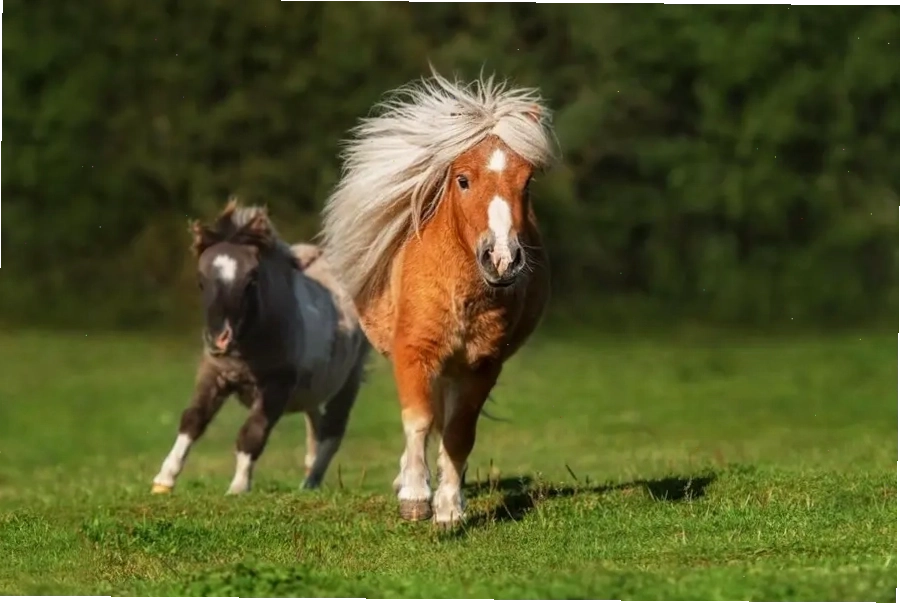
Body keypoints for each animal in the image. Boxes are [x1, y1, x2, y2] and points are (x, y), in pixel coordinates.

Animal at [151, 198, 371, 495]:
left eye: (251, 280)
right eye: (200, 281)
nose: (218, 338)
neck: (246, 347)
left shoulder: (277, 385)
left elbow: (253, 432)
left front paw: (238, 487)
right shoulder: (213, 374)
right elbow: (192, 420)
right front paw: (164, 481)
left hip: (350, 378)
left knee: (332, 431)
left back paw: (311, 480)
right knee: (315, 422)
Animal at [319, 69, 557, 527]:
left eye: (527, 182)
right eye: (463, 180)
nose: (502, 259)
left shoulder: (482, 365)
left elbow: (458, 433)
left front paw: (449, 509)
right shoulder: (414, 351)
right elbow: (418, 420)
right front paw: (414, 497)